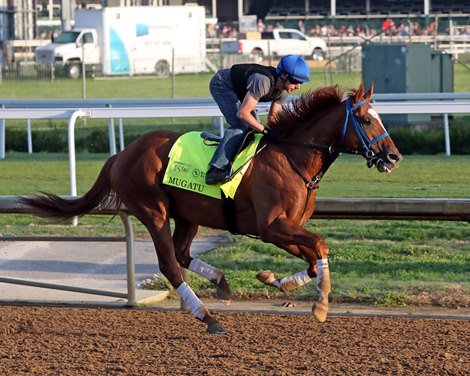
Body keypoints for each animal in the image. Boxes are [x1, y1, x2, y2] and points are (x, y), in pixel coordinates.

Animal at [19, 82, 400, 332]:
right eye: (367, 120)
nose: (394, 157)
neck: (293, 157)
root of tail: (122, 154)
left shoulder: (286, 227)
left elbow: (313, 257)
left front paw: (276, 281)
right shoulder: (271, 226)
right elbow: (320, 245)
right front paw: (320, 304)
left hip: (189, 215)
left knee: (182, 253)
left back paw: (221, 282)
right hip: (153, 210)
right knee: (169, 263)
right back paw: (207, 316)